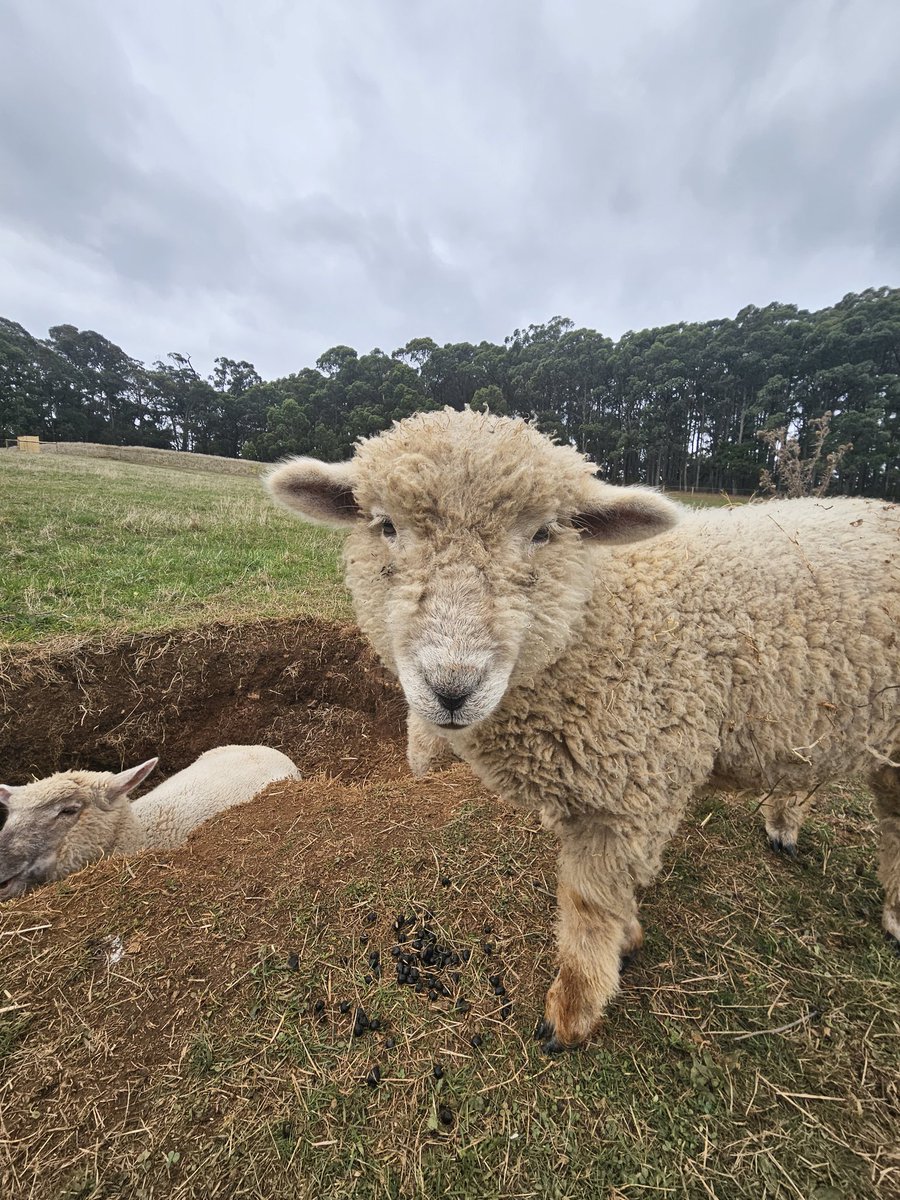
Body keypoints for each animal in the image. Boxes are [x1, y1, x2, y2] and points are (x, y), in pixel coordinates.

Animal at [267, 408, 900, 1046]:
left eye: (544, 533)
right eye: (385, 525)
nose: (451, 689)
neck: (605, 619)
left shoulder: (631, 794)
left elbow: (590, 904)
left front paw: (574, 1006)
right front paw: (627, 937)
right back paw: (784, 822)